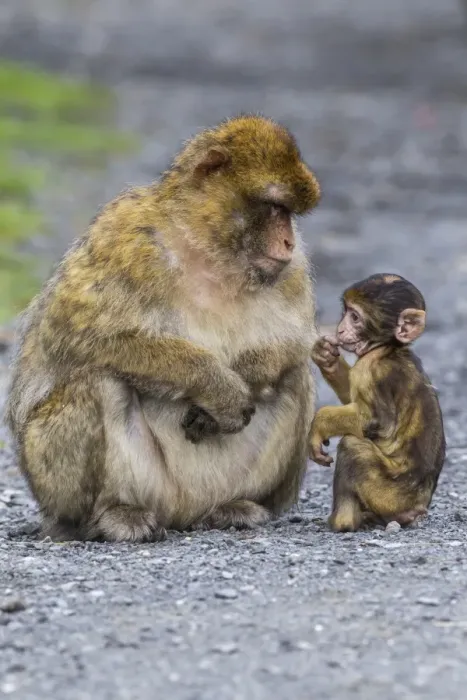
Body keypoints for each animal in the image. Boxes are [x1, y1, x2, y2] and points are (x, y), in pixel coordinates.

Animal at [5, 114, 321, 543]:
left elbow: (297, 341)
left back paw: (236, 507)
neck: (209, 252)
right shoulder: (123, 237)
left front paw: (249, 375)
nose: (287, 241)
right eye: (274, 207)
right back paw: (111, 516)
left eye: (289, 215)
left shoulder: (293, 268)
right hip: (72, 486)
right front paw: (218, 387)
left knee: (294, 376)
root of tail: (183, 513)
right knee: (97, 380)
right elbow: (82, 339)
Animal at [309, 273, 446, 532]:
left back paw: (343, 522)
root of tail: (418, 506)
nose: (340, 329)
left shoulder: (370, 371)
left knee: (352, 447)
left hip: (388, 494)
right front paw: (326, 356)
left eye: (355, 317)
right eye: (346, 312)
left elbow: (375, 421)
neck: (386, 348)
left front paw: (319, 424)